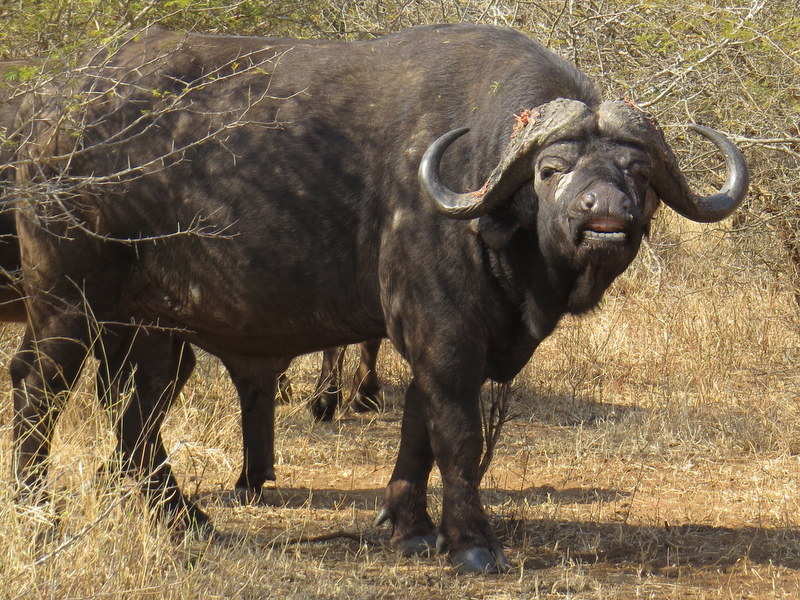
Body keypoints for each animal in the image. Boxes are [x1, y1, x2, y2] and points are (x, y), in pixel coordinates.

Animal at [11, 24, 747, 573]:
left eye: (637, 172)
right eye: (551, 169)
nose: (606, 216)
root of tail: (50, 115)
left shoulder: (430, 338)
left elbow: (417, 427)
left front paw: (408, 525)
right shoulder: (445, 335)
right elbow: (456, 432)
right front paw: (472, 543)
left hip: (154, 328)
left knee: (136, 419)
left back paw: (187, 520)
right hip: (67, 304)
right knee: (38, 388)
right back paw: (38, 510)